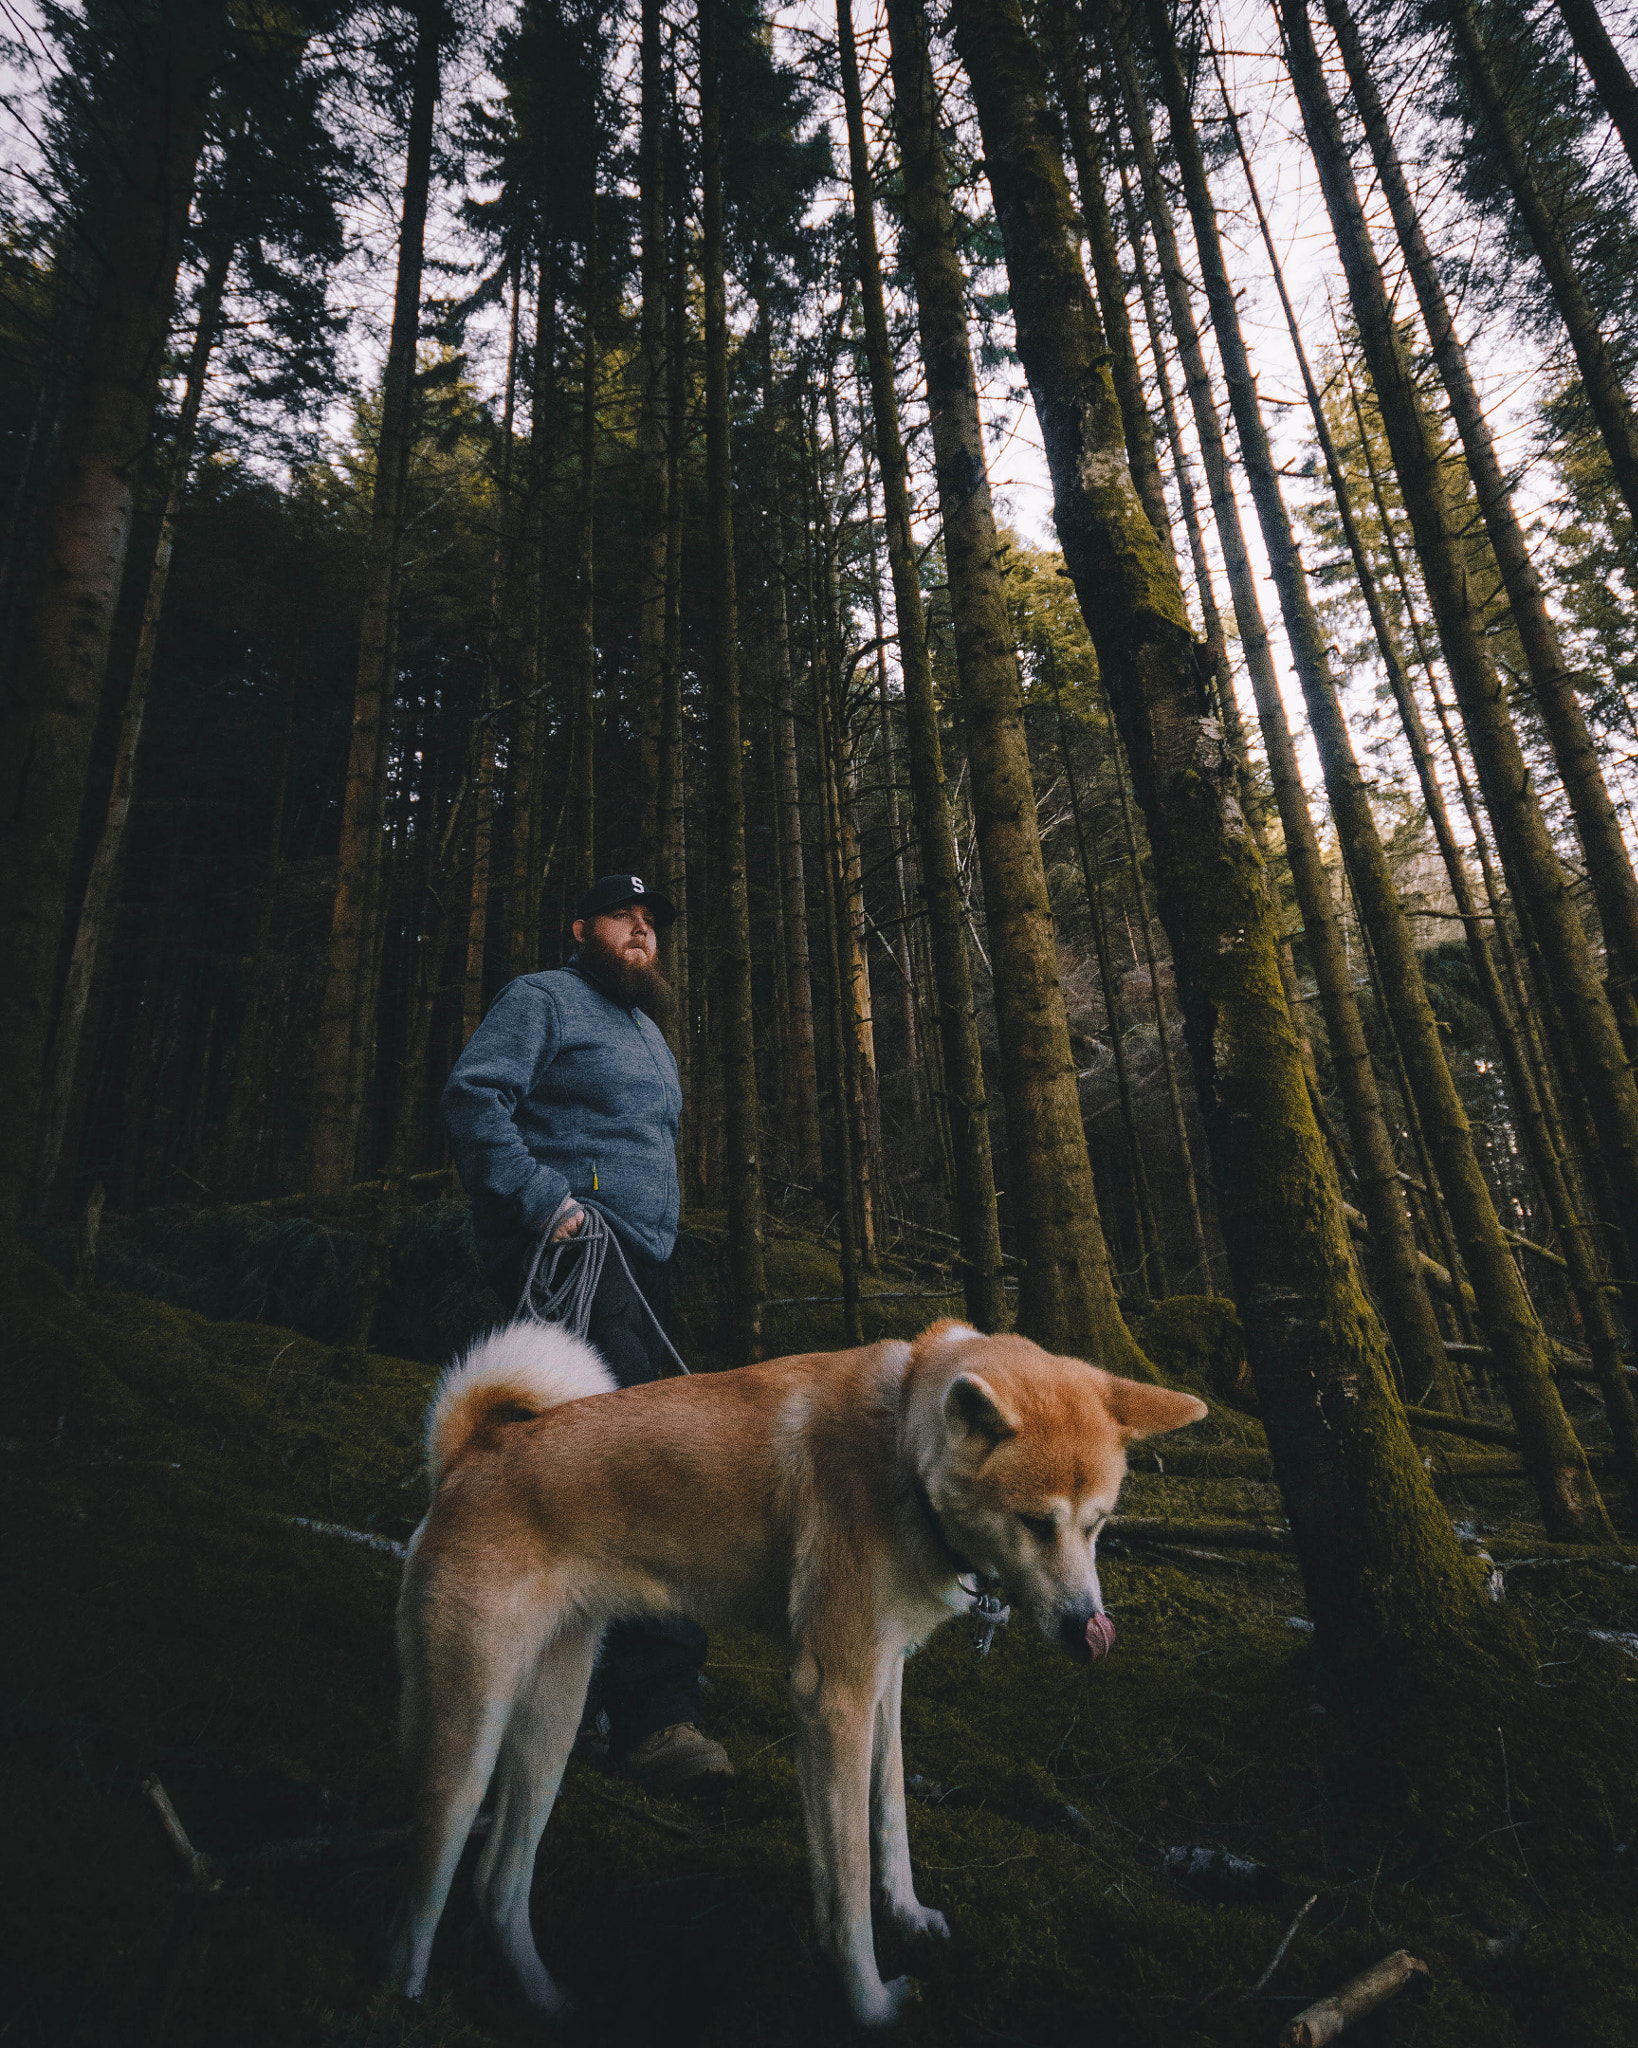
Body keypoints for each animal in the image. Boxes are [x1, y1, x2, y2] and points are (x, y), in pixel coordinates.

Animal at [384, 1318, 1203, 2023]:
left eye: (1099, 1523)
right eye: (1036, 1522)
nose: (1089, 1631)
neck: (899, 1445)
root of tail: (470, 1453)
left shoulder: (882, 1679)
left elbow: (889, 1819)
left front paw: (908, 1914)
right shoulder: (834, 1693)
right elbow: (845, 1888)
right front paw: (869, 2004)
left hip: (552, 1717)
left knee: (497, 1885)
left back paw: (548, 2001)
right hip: (467, 1737)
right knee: (424, 1885)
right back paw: (407, 1999)